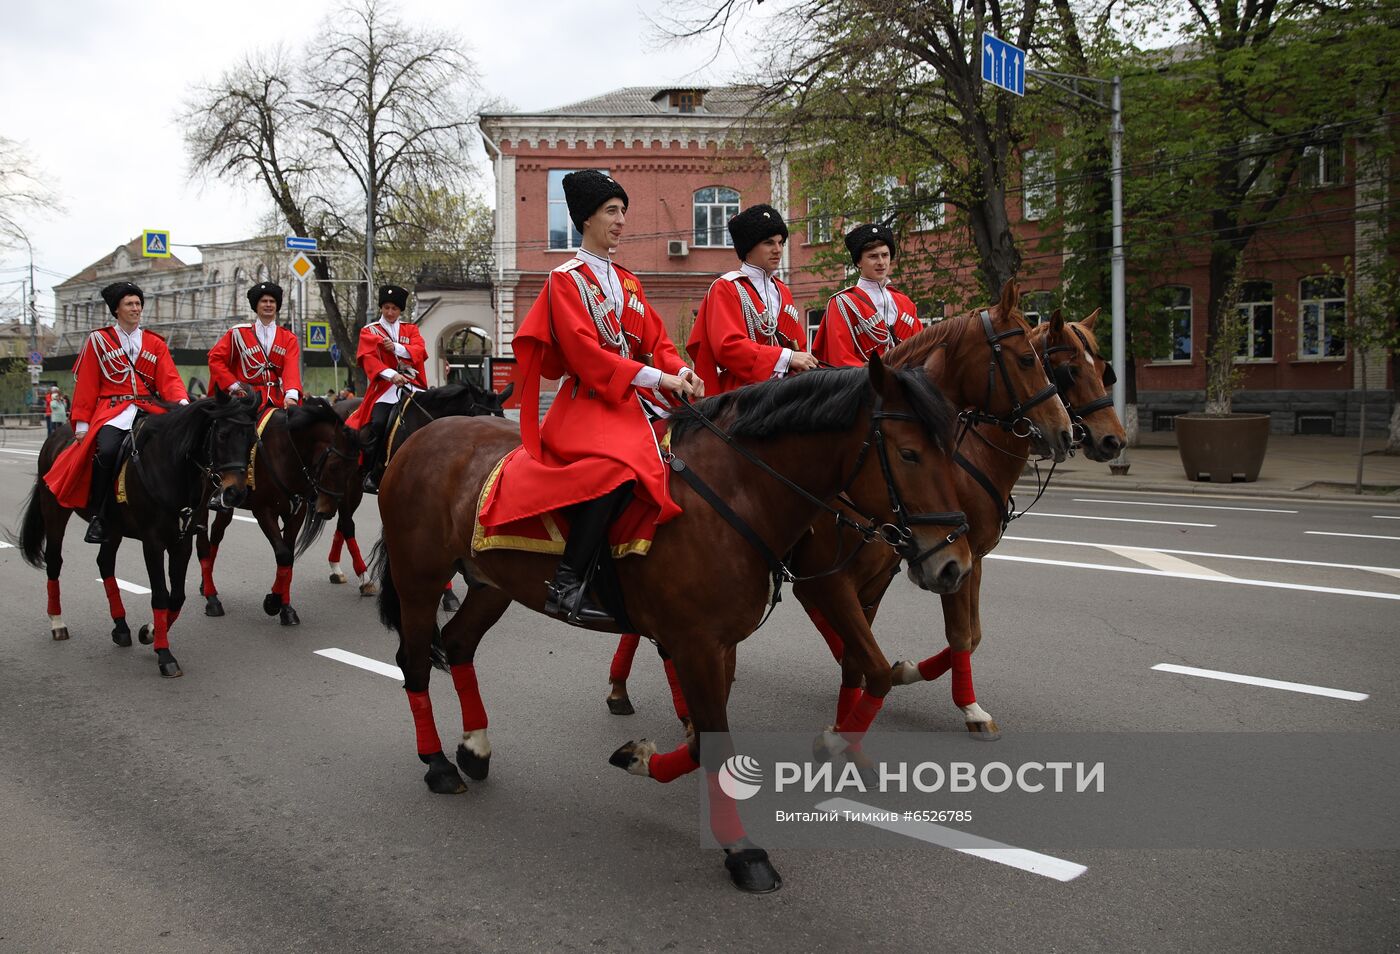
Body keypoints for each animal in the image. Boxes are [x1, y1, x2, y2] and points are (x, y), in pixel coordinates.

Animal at [16, 395, 259, 678]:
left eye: (252, 439)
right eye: (221, 435)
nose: (235, 494)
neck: (170, 469)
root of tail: (56, 436)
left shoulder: (182, 541)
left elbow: (177, 596)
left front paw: (150, 632)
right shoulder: (152, 543)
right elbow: (161, 594)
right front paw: (164, 655)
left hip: (113, 528)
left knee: (105, 563)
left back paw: (121, 627)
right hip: (55, 510)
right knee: (54, 562)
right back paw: (57, 623)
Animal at [196, 395, 361, 624]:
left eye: (354, 469)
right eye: (334, 466)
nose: (327, 510)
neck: (286, 453)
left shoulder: (296, 513)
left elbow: (289, 560)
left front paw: (286, 608)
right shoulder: (264, 511)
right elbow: (283, 554)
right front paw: (273, 602)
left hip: (227, 505)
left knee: (216, 535)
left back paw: (206, 585)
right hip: (203, 499)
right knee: (202, 541)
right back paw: (212, 599)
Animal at [372, 353, 974, 890]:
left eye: (952, 451)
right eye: (909, 453)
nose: (955, 565)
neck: (734, 494)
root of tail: (422, 439)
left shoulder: (720, 643)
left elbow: (711, 736)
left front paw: (641, 759)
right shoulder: (697, 644)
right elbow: (714, 740)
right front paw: (744, 851)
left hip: (490, 586)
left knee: (458, 645)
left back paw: (473, 748)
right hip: (420, 579)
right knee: (415, 662)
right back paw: (438, 764)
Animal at [602, 278, 1069, 722]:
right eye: (1028, 360)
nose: (1068, 433)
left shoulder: (907, 572)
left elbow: (928, 645)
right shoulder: (834, 577)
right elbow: (933, 642)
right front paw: (956, 704)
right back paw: (629, 691)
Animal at [795, 308, 1120, 739]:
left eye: (1103, 369)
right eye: (1067, 370)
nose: (1113, 441)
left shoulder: (970, 558)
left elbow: (972, 634)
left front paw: (906, 674)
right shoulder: (931, 560)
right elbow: (959, 632)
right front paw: (966, 705)